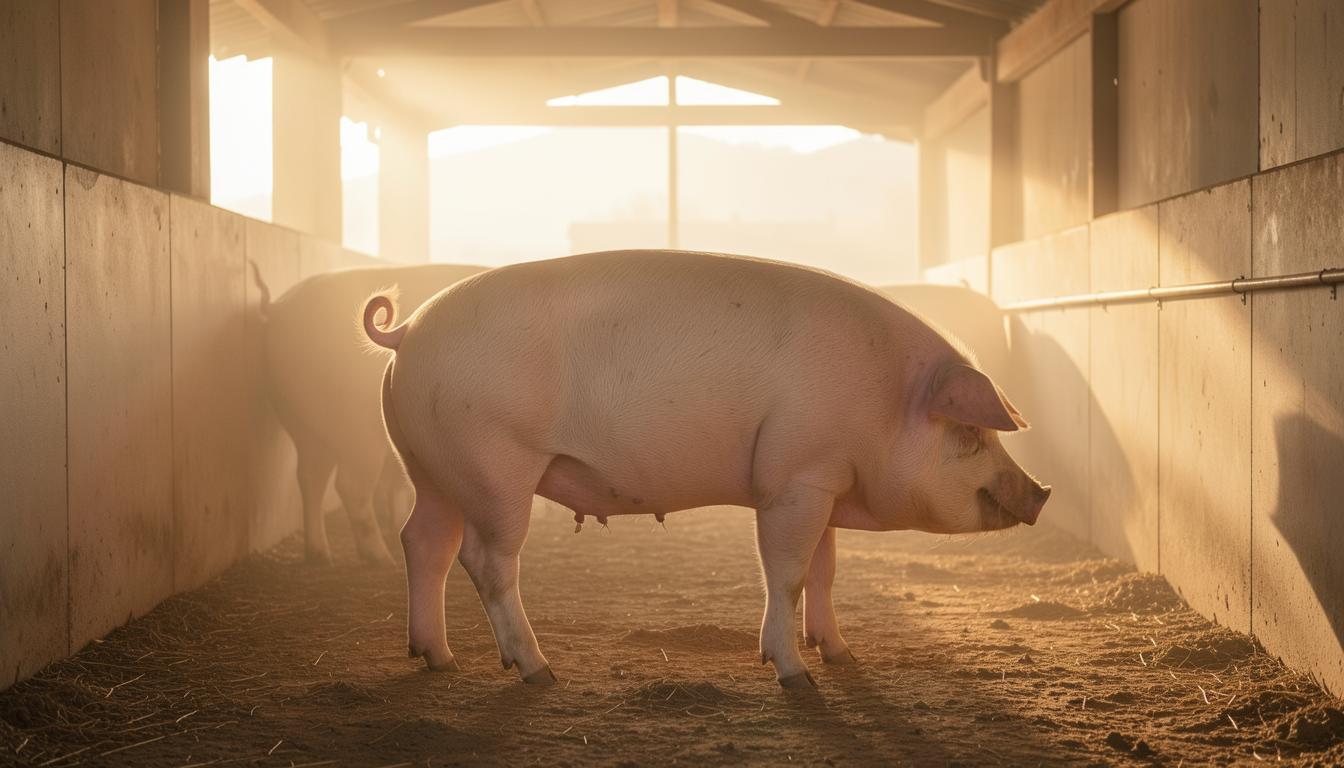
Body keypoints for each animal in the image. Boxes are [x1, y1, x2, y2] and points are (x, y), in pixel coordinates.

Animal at [252, 262, 487, 564]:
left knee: (310, 478)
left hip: (303, 423)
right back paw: (381, 557)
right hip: (358, 430)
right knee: (350, 487)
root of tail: (278, 308)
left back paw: (321, 554)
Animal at [363, 250, 1050, 687]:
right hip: (495, 465)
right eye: (969, 432)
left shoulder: (824, 479)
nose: (1041, 491)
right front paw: (796, 676)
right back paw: (539, 672)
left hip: (432, 470)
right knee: (486, 560)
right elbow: (788, 574)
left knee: (423, 541)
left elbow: (824, 572)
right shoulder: (792, 478)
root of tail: (405, 334)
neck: (882, 402)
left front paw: (843, 656)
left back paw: (439, 660)